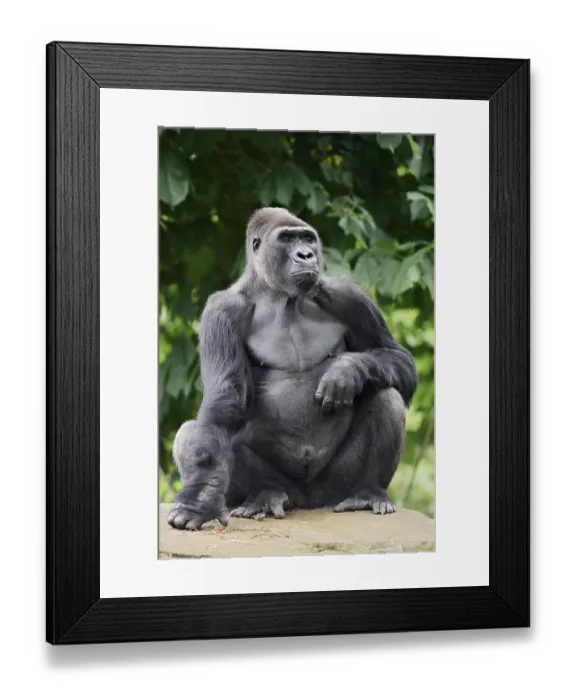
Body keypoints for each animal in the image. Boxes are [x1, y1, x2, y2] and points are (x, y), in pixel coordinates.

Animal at [168, 207, 417, 530]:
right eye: (287, 239)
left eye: (308, 239)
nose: (306, 255)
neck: (278, 295)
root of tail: (308, 500)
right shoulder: (221, 310)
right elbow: (225, 403)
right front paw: (201, 499)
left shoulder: (348, 295)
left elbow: (398, 359)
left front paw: (346, 370)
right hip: (289, 488)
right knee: (193, 432)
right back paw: (264, 495)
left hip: (334, 488)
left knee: (386, 393)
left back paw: (368, 491)